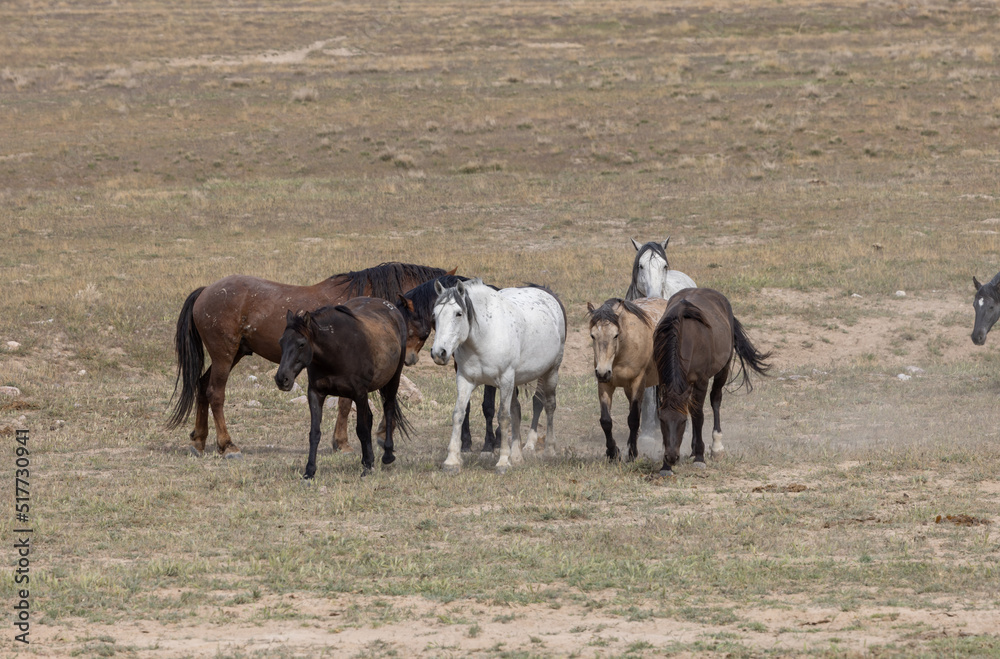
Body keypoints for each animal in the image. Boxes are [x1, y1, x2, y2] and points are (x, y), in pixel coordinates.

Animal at [168, 262, 447, 458]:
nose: (410, 358)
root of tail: (206, 291)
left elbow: (347, 403)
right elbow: (346, 404)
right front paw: (344, 443)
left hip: (232, 354)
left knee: (202, 386)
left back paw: (199, 441)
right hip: (224, 356)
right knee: (215, 393)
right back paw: (227, 446)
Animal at [273, 298, 409, 478]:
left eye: (301, 344)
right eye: (281, 342)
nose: (282, 379)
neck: (337, 351)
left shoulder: (359, 393)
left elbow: (362, 430)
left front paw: (368, 467)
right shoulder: (315, 393)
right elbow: (315, 433)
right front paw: (310, 471)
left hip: (393, 379)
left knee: (388, 408)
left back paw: (387, 455)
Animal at [429, 279, 566, 473]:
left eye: (458, 313)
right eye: (435, 315)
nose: (438, 353)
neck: (484, 337)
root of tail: (546, 293)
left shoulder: (505, 380)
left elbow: (503, 417)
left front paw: (502, 462)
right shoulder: (464, 380)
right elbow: (459, 414)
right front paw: (452, 461)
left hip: (551, 372)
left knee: (549, 405)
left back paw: (549, 450)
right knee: (516, 410)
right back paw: (516, 456)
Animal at [587, 297, 670, 462]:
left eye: (615, 335)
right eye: (593, 335)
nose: (603, 372)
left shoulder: (638, 382)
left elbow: (633, 419)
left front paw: (632, 454)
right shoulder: (605, 385)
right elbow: (606, 420)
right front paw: (613, 452)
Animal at [653, 288, 771, 477]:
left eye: (682, 421)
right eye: (662, 420)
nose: (671, 457)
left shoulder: (701, 381)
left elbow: (698, 415)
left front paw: (700, 457)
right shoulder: (662, 381)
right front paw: (665, 467)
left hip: (723, 369)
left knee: (715, 400)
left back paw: (716, 448)